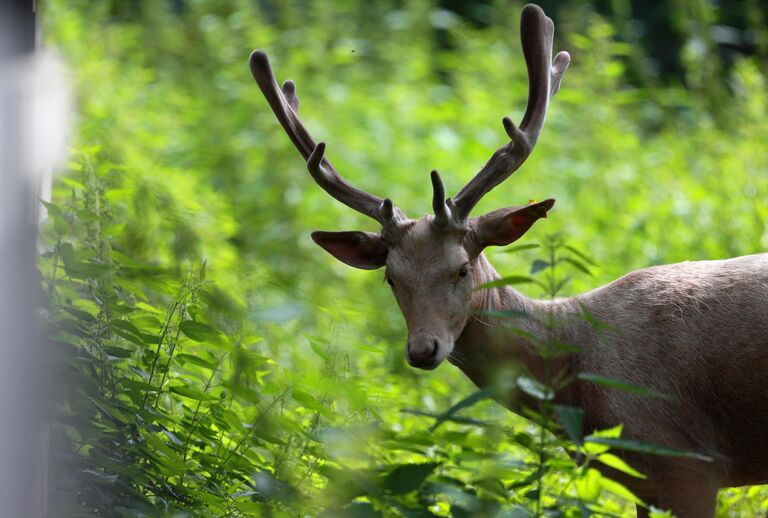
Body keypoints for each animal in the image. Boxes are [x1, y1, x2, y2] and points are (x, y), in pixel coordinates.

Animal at [249, 5, 764, 518]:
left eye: (461, 267)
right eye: (391, 279)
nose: (422, 349)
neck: (579, 368)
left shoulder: (685, 462)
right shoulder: (645, 481)